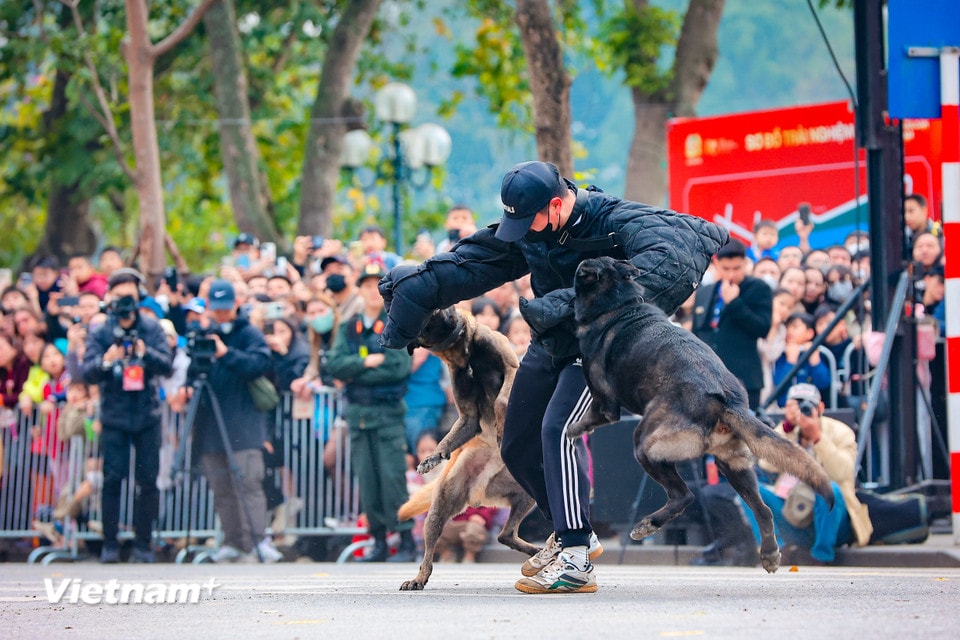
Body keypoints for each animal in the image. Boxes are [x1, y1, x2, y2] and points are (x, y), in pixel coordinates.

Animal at [568, 258, 832, 572]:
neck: (619, 305)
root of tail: (725, 401)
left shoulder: (604, 404)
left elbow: (590, 418)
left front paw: (573, 430)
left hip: (646, 444)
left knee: (686, 495)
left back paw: (648, 524)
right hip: (733, 464)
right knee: (764, 510)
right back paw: (769, 553)